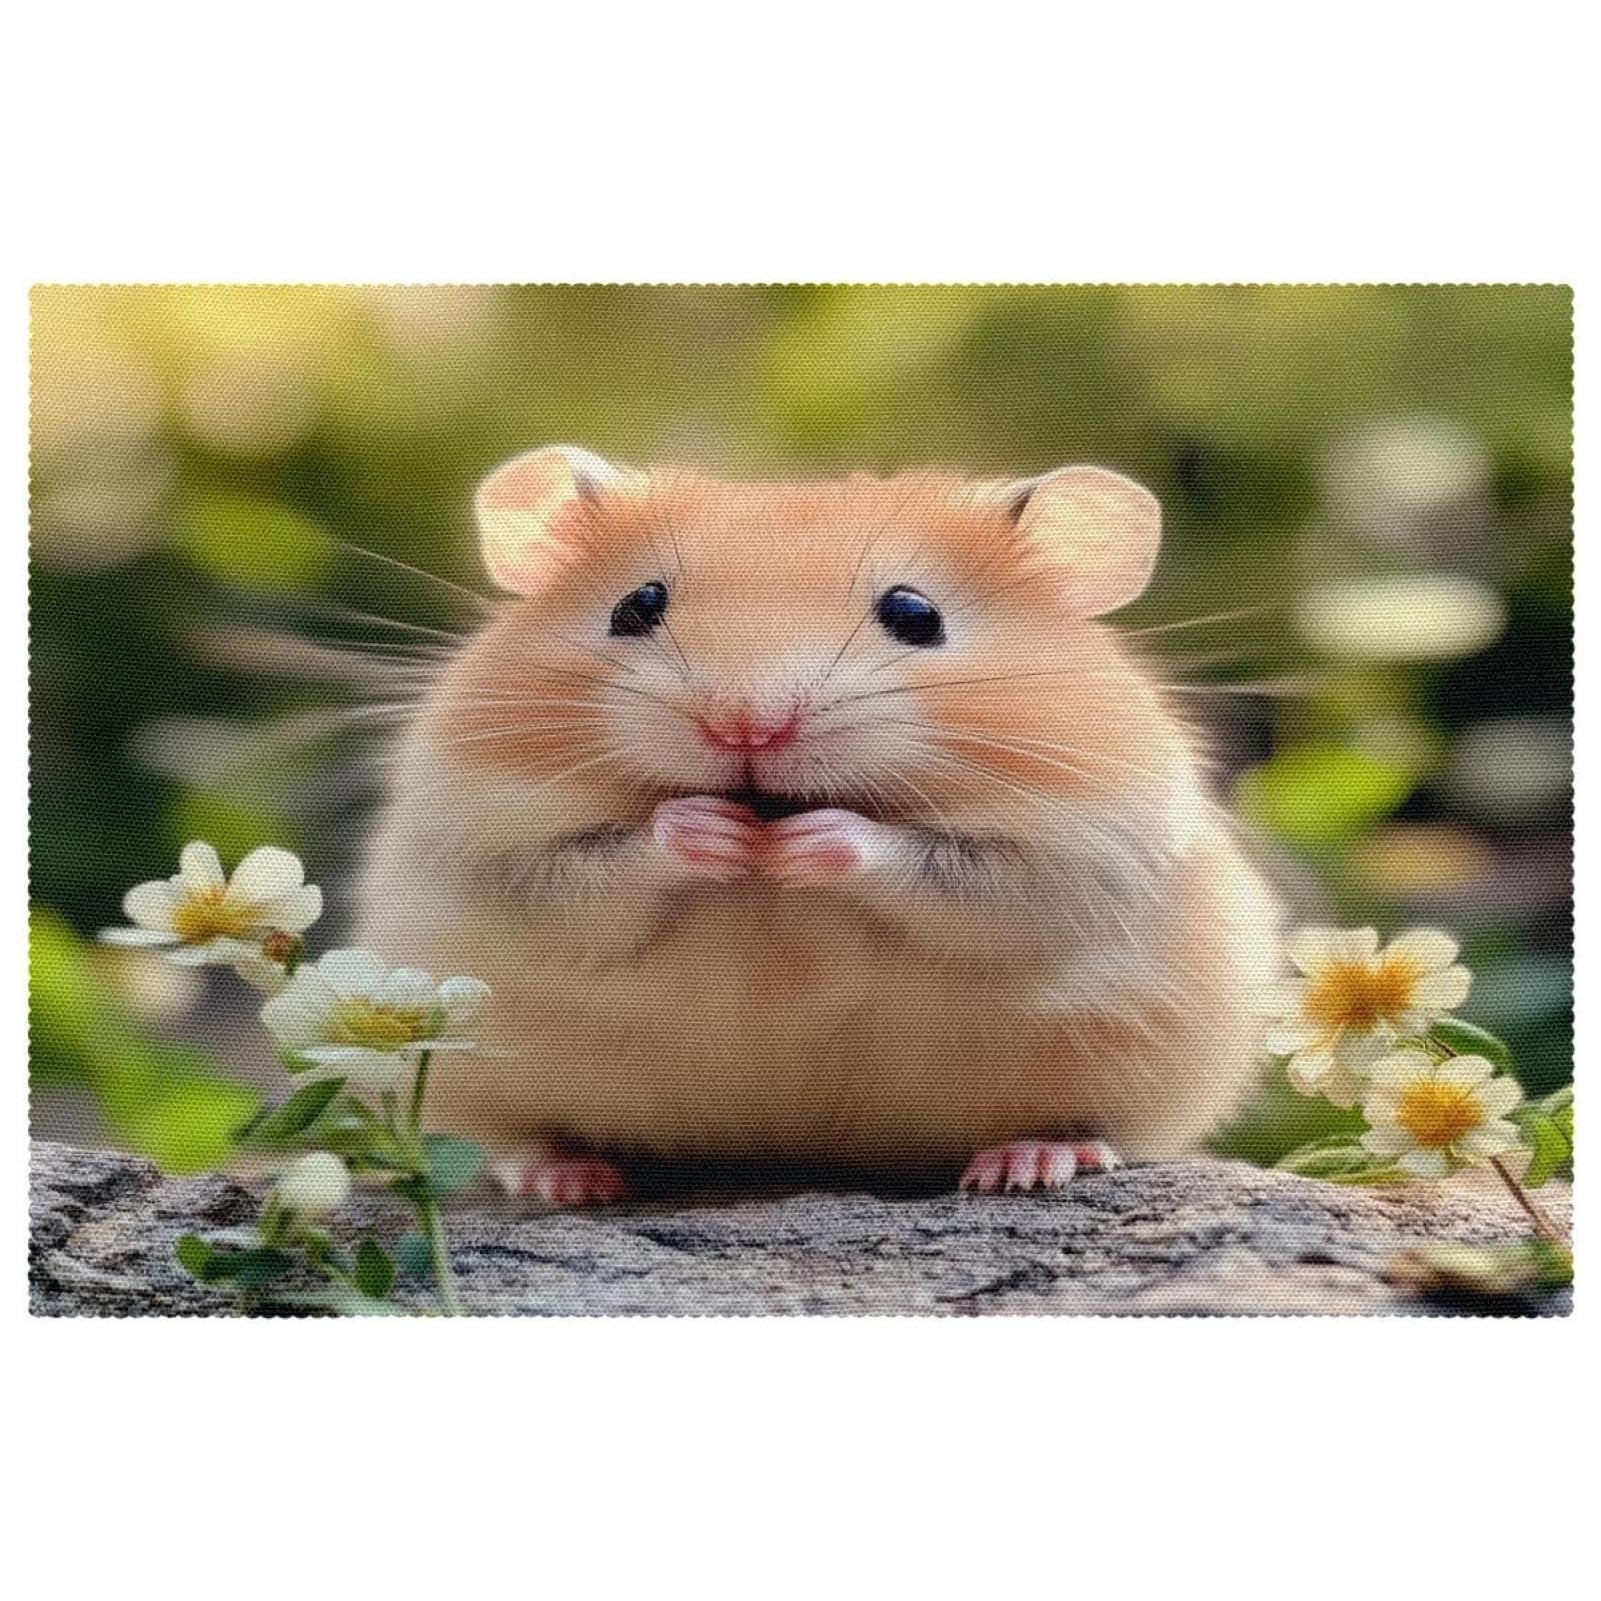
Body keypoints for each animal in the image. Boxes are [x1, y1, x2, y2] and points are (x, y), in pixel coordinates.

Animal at [354, 445, 1282, 1202]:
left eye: (915, 614)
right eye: (634, 605)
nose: (746, 727)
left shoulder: (1072, 855)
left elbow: (943, 870)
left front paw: (798, 842)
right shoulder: (491, 843)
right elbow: (595, 870)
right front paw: (715, 833)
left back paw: (1028, 1164)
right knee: (516, 1136)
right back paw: (569, 1178)